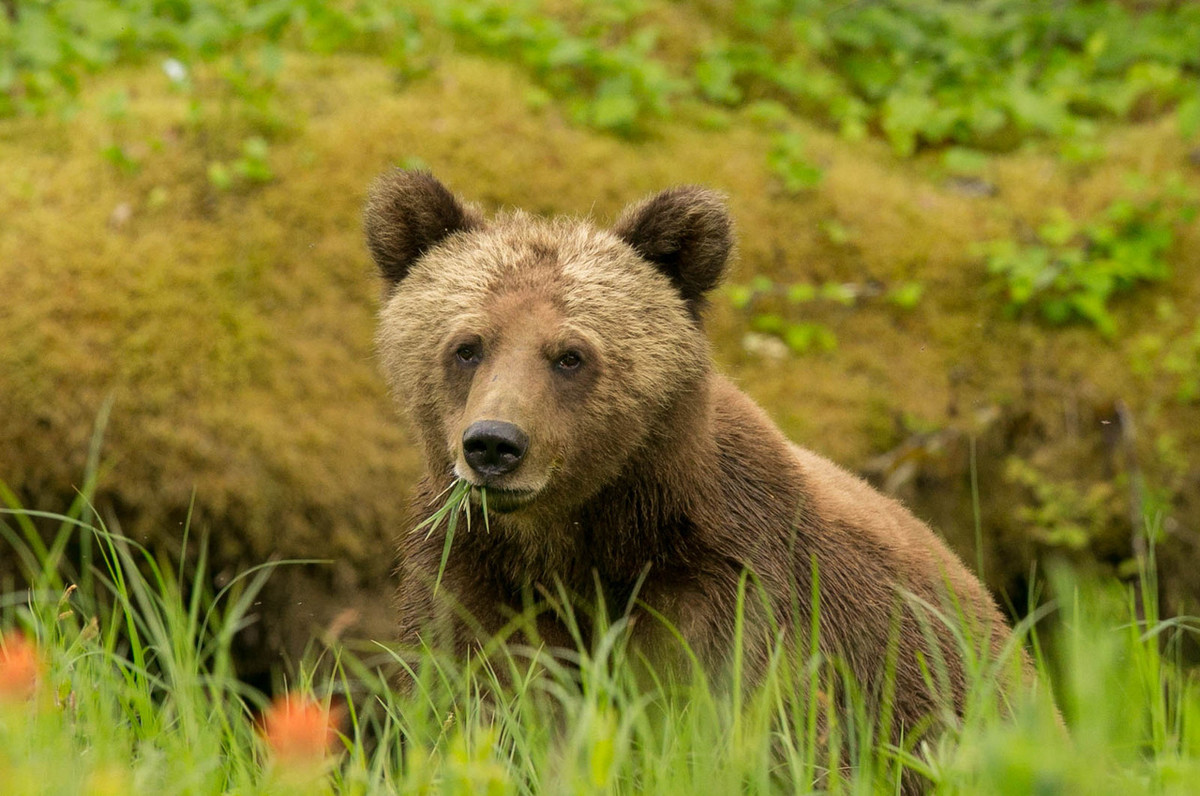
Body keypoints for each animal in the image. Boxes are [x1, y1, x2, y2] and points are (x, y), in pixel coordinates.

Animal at [362, 166, 1022, 749]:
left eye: (571, 355)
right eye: (467, 346)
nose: (494, 445)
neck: (581, 537)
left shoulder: (725, 584)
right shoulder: (472, 575)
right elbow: (474, 702)